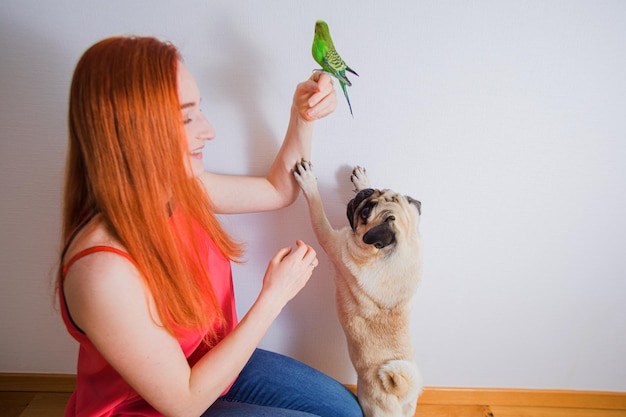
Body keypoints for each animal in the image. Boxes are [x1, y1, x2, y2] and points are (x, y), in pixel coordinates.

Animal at [294, 159, 422, 416]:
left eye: (365, 212)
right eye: (376, 192)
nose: (364, 194)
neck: (396, 254)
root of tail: (401, 393)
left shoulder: (330, 239)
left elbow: (317, 208)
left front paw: (309, 181)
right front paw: (362, 180)